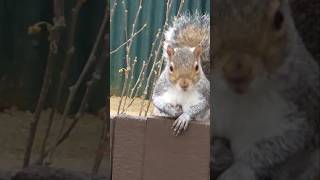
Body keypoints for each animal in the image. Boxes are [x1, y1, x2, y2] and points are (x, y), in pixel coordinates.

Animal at [212, 0, 320, 180]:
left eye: (279, 18)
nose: (237, 73)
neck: (236, 99)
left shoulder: (294, 111)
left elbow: (271, 150)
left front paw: (235, 173)